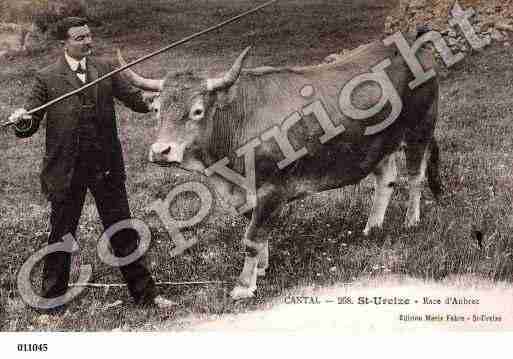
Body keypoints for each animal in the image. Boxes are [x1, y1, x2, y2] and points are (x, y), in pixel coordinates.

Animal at [116, 38, 440, 300]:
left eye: (197, 111)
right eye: (156, 110)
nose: (161, 151)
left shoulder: (272, 188)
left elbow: (251, 238)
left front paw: (243, 286)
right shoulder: (246, 193)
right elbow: (258, 234)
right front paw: (260, 269)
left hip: (419, 128)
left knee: (415, 177)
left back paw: (411, 220)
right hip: (379, 143)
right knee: (386, 179)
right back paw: (372, 227)